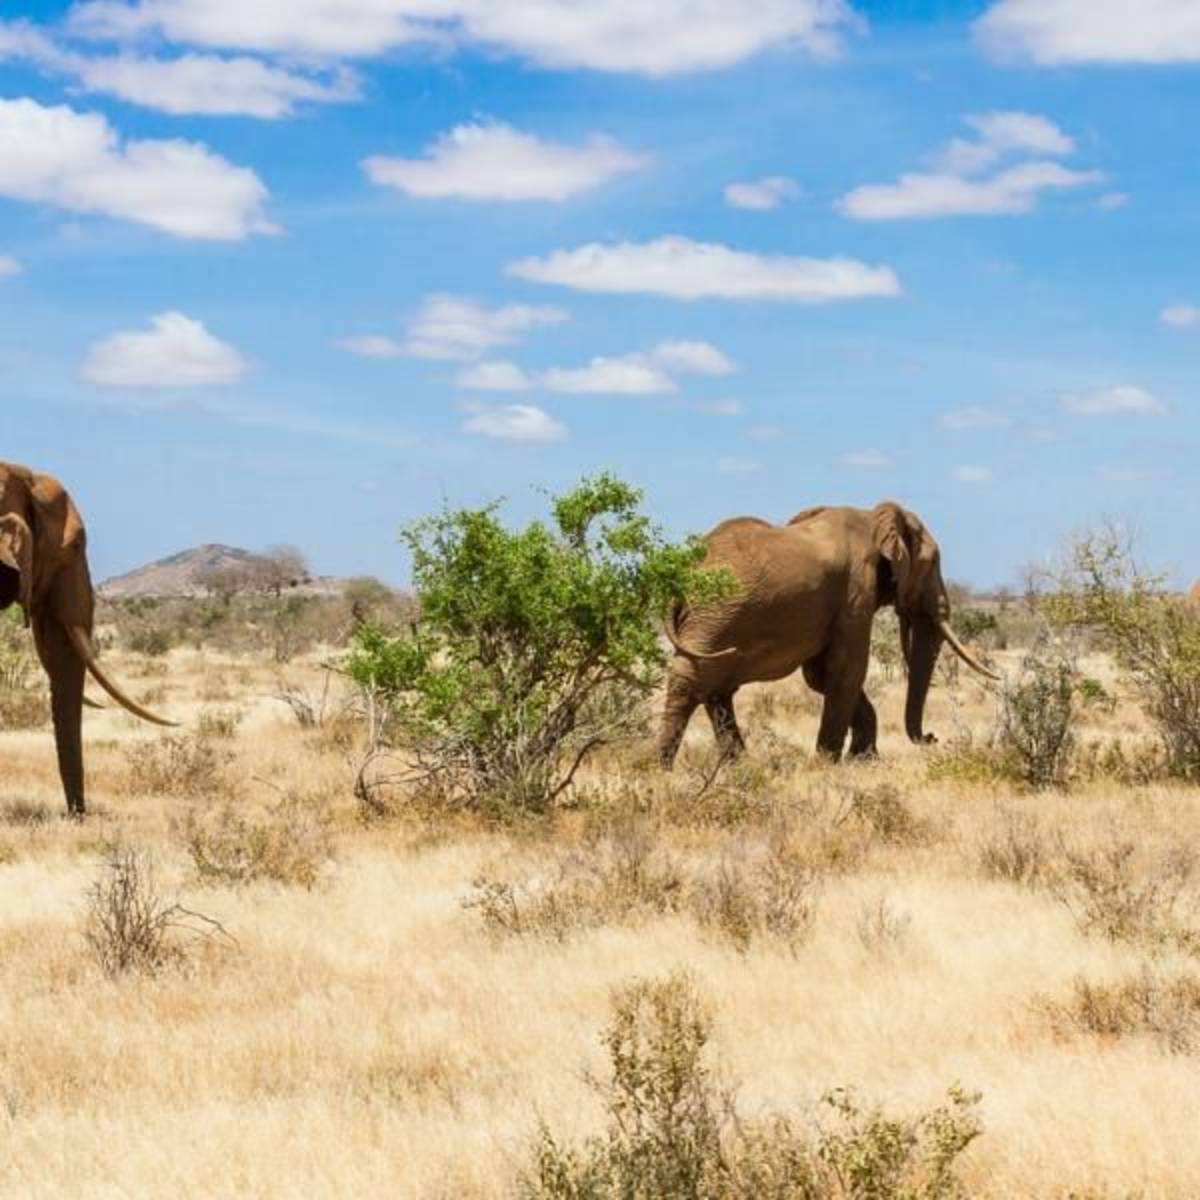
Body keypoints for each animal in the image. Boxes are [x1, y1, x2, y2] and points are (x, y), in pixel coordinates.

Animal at [659, 501, 997, 767]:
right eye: (933, 562)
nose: (933, 737)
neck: (874, 518)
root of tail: (685, 570)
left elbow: (821, 674)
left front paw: (863, 760)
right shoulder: (855, 592)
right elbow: (847, 669)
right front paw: (830, 763)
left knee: (717, 687)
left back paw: (737, 766)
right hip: (714, 610)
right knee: (691, 677)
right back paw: (660, 769)